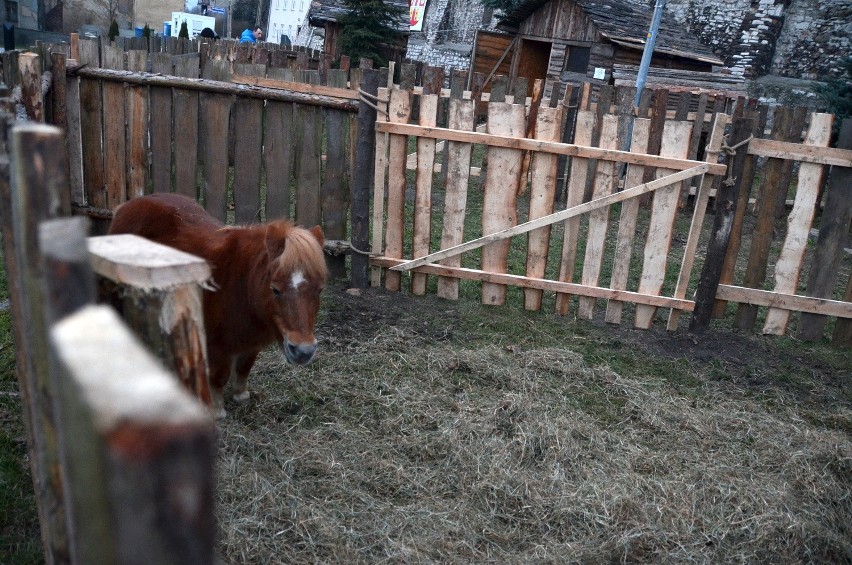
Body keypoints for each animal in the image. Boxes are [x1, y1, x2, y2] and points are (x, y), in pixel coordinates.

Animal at [108, 194, 328, 418]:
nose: (303, 351)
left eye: (319, 290)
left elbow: (244, 367)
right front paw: (216, 410)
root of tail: (127, 205)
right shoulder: (218, 346)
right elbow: (219, 377)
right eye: (275, 289)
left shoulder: (252, 342)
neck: (241, 285)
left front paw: (241, 395)